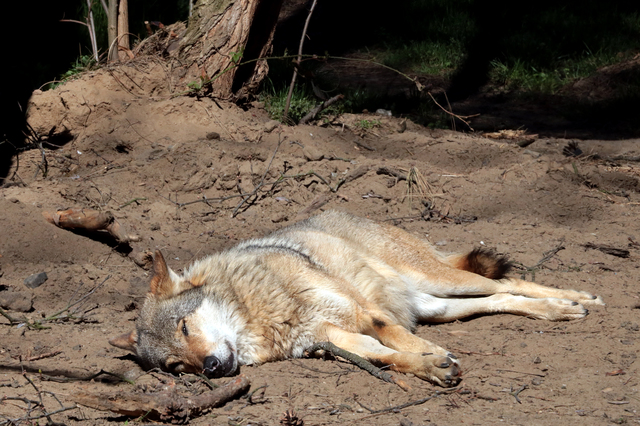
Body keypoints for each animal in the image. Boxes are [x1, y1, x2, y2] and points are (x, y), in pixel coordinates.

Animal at [110, 210, 604, 386]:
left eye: (185, 327)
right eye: (177, 366)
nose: (212, 368)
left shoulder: (361, 312)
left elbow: (396, 338)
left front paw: (429, 354)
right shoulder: (328, 339)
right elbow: (387, 356)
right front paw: (431, 365)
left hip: (443, 281)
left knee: (510, 283)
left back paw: (574, 301)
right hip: (440, 306)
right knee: (502, 300)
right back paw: (557, 311)